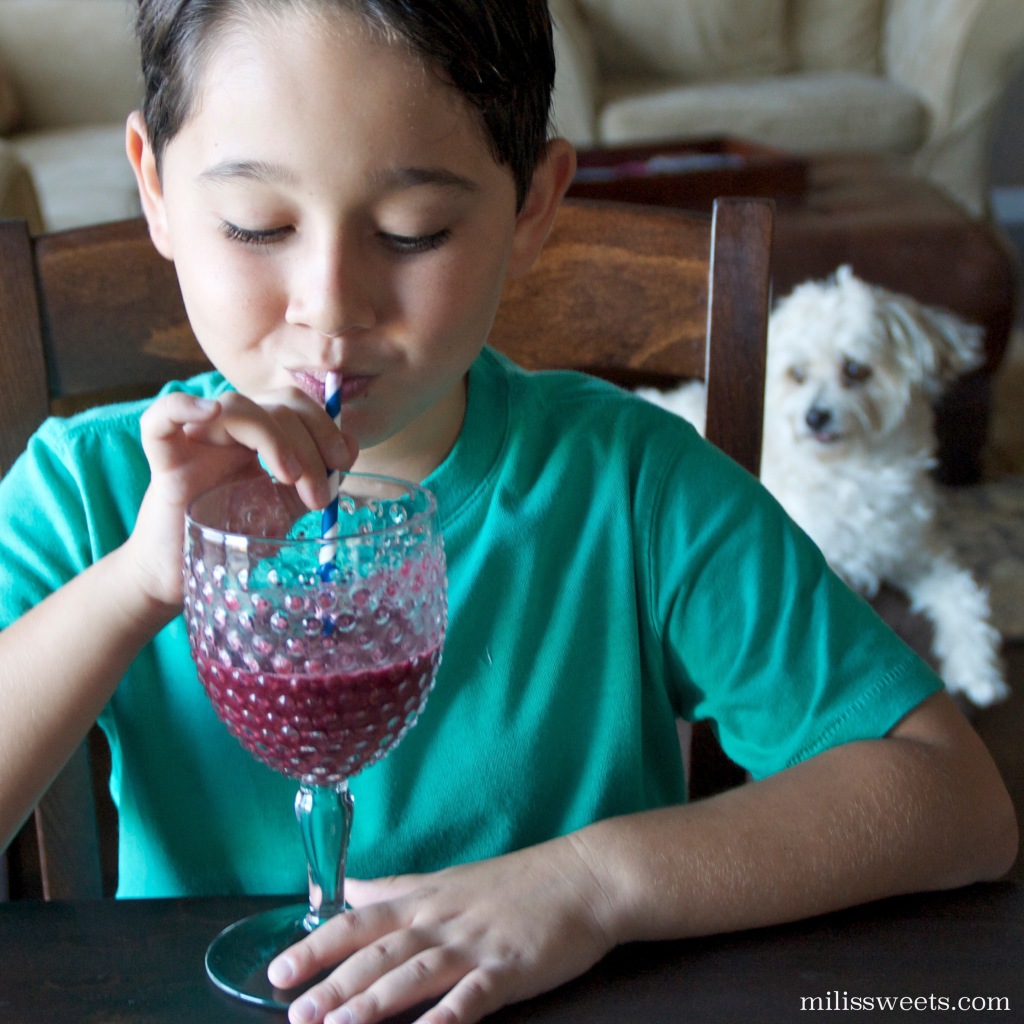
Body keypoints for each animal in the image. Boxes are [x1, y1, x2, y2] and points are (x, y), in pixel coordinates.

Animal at [638, 264, 1007, 708]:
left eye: (855, 369)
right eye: (797, 374)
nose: (815, 417)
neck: (852, 471)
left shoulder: (914, 552)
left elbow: (961, 593)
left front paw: (978, 672)